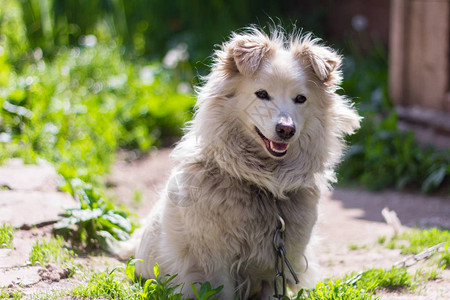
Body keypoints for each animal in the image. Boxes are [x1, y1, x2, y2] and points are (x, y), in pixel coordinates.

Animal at [132, 27, 360, 298]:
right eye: (262, 94)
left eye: (300, 99)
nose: (286, 129)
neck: (264, 186)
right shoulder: (216, 264)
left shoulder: (276, 266)